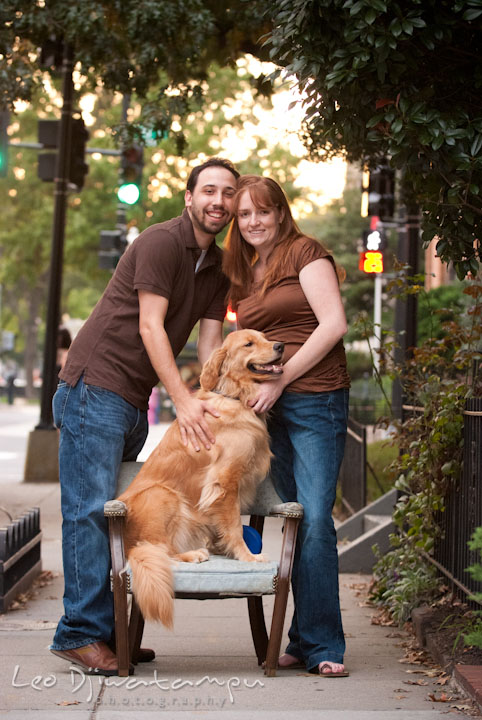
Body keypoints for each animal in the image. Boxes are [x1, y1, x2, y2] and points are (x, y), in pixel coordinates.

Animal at [116, 330, 282, 628]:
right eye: (248, 343)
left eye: (264, 337)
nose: (281, 345)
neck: (235, 396)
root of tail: (127, 546)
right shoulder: (224, 481)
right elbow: (234, 526)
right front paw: (247, 556)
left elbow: (222, 525)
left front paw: (222, 547)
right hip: (163, 495)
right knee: (160, 549)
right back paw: (193, 554)